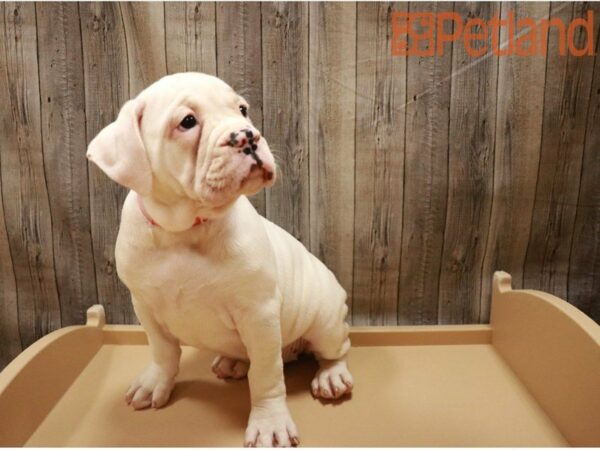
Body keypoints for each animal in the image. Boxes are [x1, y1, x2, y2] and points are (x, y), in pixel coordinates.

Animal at [86, 73, 354, 446]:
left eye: (243, 110)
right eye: (187, 122)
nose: (247, 135)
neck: (182, 229)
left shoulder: (258, 314)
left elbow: (266, 376)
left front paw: (269, 422)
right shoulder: (146, 308)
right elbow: (163, 352)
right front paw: (155, 383)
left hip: (326, 322)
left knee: (335, 349)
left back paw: (331, 376)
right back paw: (233, 362)